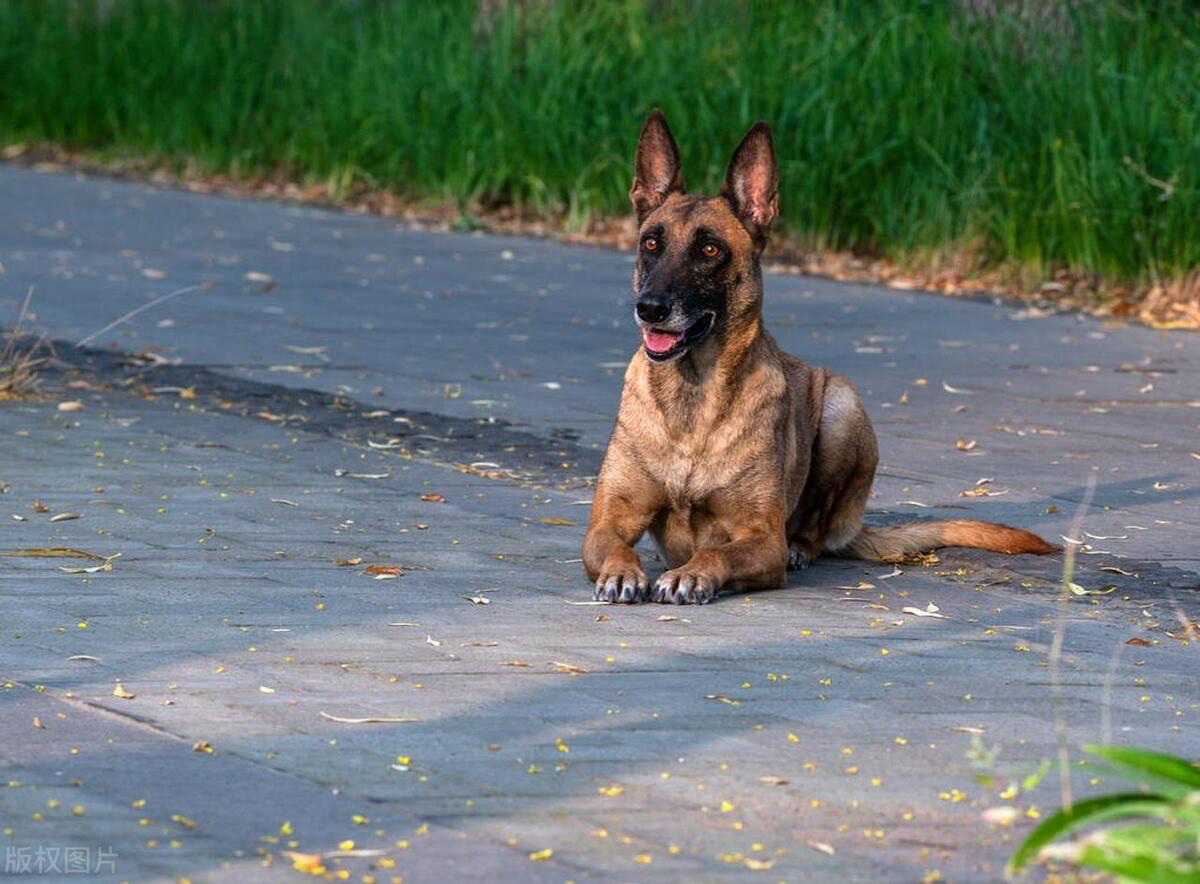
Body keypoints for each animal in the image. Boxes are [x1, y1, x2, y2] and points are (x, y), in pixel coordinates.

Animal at [585, 110, 1056, 604]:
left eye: (710, 250)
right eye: (651, 244)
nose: (650, 308)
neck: (693, 394)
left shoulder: (762, 539)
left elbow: (717, 552)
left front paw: (691, 575)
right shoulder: (606, 523)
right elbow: (616, 547)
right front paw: (621, 573)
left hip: (841, 407)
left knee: (815, 527)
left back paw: (802, 548)